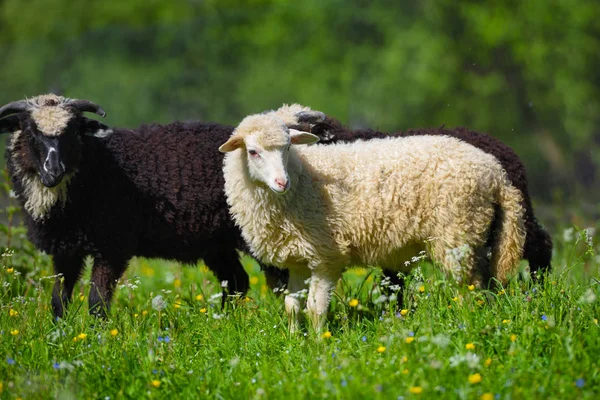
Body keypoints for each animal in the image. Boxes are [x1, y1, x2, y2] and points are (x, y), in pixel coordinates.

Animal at [0, 94, 304, 318]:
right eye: (30, 133)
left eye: (73, 132)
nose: (54, 171)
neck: (97, 164)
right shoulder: (65, 249)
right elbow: (58, 300)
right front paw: (60, 336)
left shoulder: (112, 243)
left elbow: (97, 302)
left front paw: (98, 341)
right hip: (216, 242)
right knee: (237, 281)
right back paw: (225, 322)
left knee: (282, 281)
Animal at [220, 113, 524, 332]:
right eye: (253, 152)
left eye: (286, 149)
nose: (282, 182)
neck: (302, 176)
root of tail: (496, 172)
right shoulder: (298, 259)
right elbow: (292, 307)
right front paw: (295, 340)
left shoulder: (326, 256)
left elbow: (316, 308)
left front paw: (318, 344)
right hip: (475, 234)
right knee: (484, 282)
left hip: (456, 235)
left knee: (468, 287)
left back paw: (465, 321)